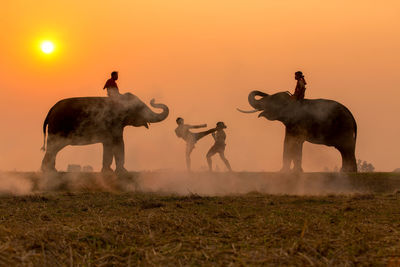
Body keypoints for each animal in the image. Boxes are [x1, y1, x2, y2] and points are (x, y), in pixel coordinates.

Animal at [41, 92, 169, 174]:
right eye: (140, 107)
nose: (153, 100)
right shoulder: (113, 123)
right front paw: (122, 172)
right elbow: (119, 143)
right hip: (57, 128)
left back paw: (49, 170)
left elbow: (108, 145)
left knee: (53, 149)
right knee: (53, 148)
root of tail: (50, 111)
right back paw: (49, 171)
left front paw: (108, 171)